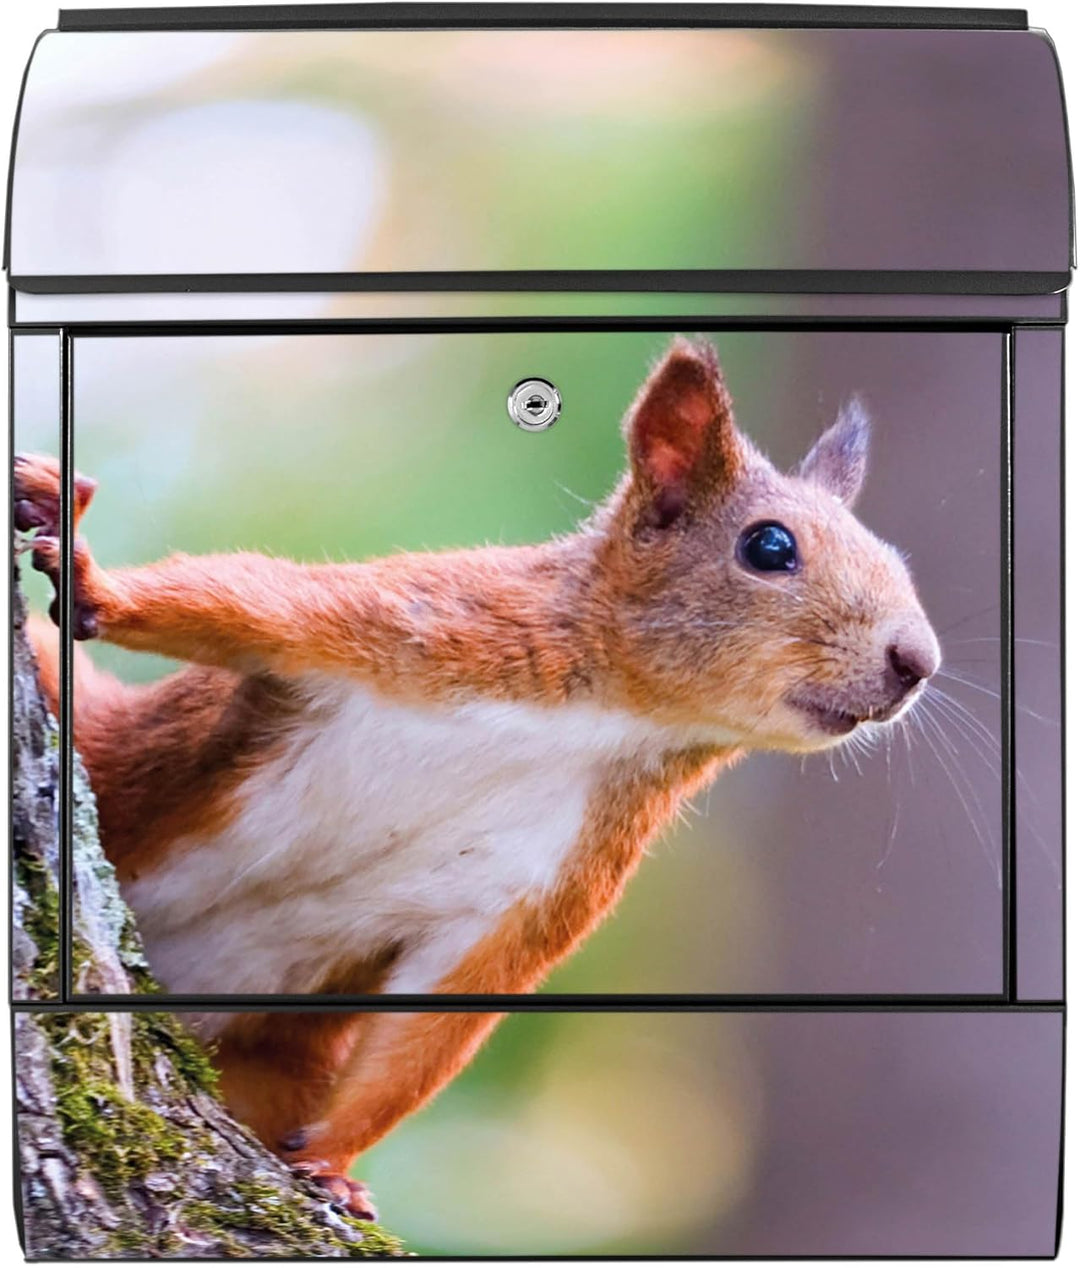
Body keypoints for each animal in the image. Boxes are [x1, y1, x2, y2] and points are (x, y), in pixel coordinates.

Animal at [15, 338, 940, 1216]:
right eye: (770, 546)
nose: (917, 663)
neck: (610, 717)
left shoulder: (552, 875)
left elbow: (442, 1011)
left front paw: (332, 1167)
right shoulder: (424, 621)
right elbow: (244, 602)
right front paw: (96, 585)